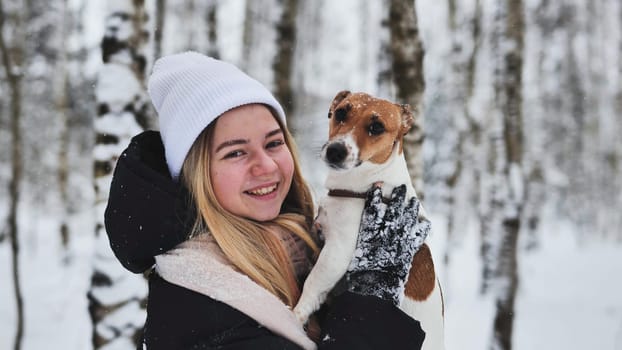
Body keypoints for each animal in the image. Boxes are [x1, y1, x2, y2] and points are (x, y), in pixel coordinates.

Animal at [294, 91, 446, 350]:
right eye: (341, 112)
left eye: (377, 127)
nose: (335, 151)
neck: (366, 188)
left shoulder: (338, 252)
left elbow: (313, 283)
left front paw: (295, 315)